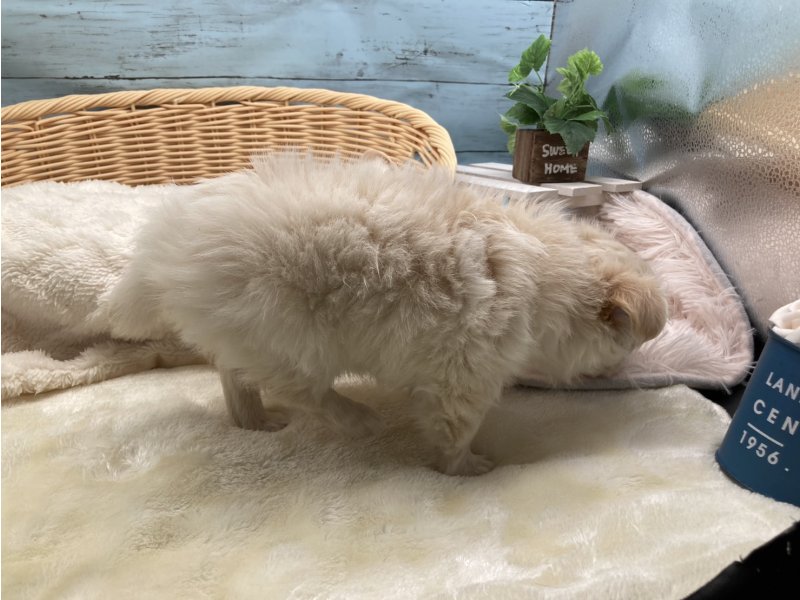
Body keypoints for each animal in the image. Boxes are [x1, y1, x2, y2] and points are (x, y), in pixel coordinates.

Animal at [108, 153, 667, 476]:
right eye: (629, 342)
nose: (625, 370)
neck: (552, 276)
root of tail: (163, 243)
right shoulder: (465, 377)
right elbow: (455, 432)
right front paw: (469, 468)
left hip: (247, 331)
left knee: (235, 374)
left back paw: (256, 422)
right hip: (289, 332)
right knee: (300, 387)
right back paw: (356, 418)